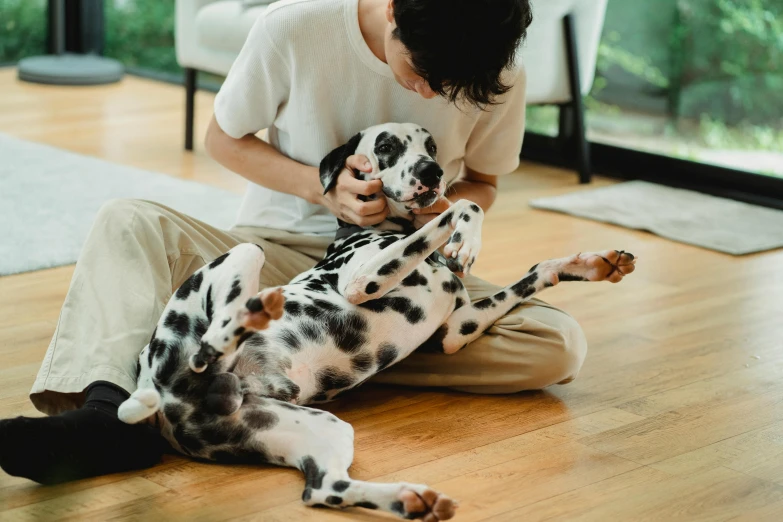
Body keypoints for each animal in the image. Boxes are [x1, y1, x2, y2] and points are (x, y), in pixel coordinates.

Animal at [119, 123, 640, 520]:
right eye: (387, 145)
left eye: (432, 147)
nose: (432, 171)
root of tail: (163, 396)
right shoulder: (362, 281)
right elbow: (458, 207)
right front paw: (466, 236)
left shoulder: (453, 333)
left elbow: (531, 273)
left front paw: (588, 264)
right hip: (241, 264)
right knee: (211, 339)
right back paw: (241, 322)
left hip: (324, 429)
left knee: (323, 490)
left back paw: (408, 499)